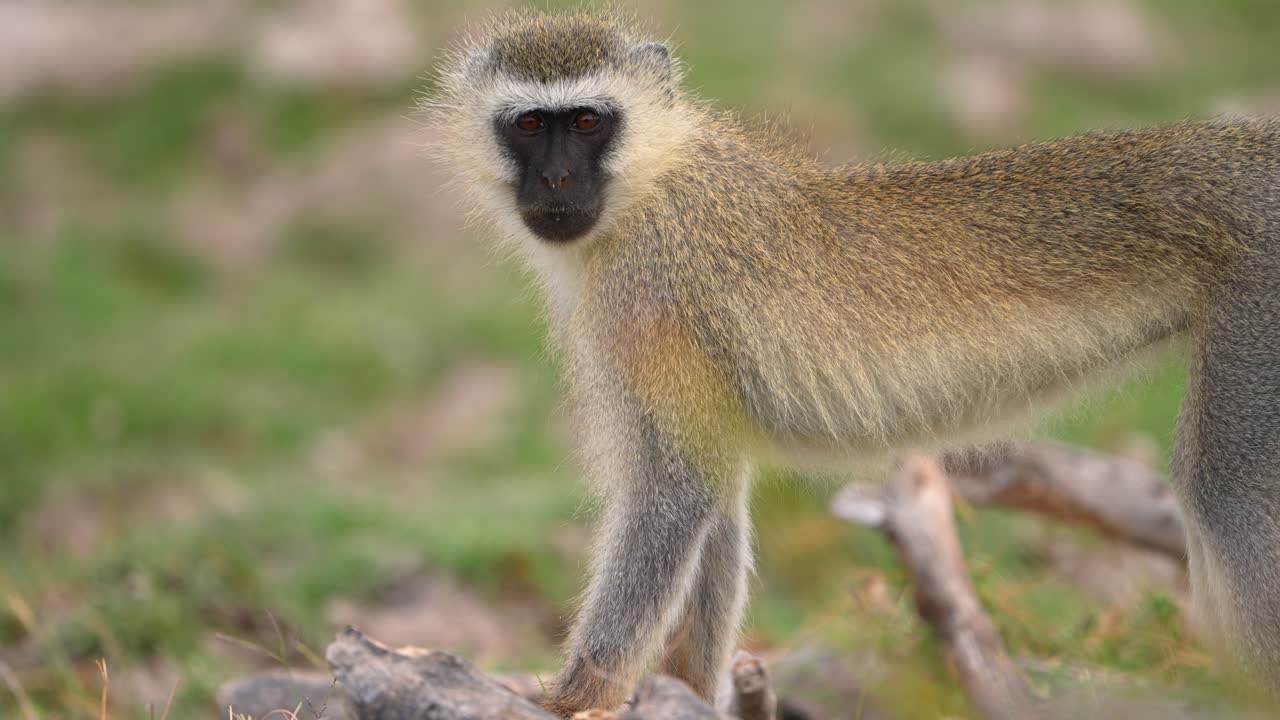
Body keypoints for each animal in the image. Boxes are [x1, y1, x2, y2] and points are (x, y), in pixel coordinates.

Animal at [422, 10, 1280, 715]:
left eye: (588, 121)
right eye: (530, 125)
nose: (557, 179)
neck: (652, 182)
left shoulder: (647, 298)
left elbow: (673, 497)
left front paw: (573, 698)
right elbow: (713, 502)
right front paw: (687, 693)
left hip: (1259, 313)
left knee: (1225, 493)